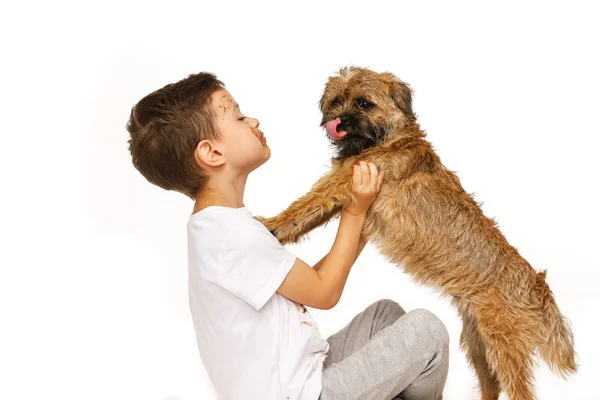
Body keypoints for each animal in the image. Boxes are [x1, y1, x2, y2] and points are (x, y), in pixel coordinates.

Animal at [258, 66, 576, 400]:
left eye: (363, 103)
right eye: (336, 101)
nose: (340, 121)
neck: (389, 138)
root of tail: (538, 286)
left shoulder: (341, 184)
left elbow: (304, 204)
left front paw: (270, 223)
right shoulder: (345, 196)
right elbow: (305, 218)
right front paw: (274, 232)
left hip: (504, 346)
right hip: (479, 345)